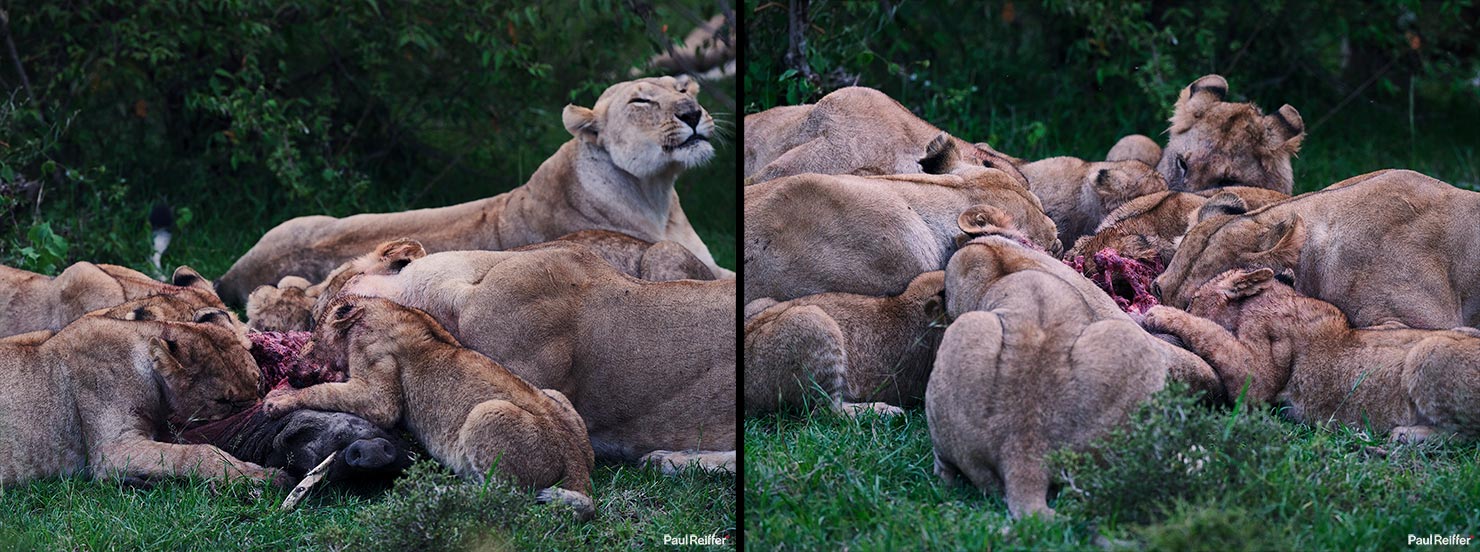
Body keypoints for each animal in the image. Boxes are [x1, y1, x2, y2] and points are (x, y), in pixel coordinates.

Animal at [0, 300, 273, 487]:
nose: (255, 409)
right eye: (223, 401)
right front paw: (262, 475)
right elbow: (199, 452)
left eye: (260, 383)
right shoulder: (111, 451)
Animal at [263, 296, 596, 519]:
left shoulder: (379, 391)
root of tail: (576, 459)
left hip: (486, 414)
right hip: (555, 397)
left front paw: (278, 401)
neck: (378, 310)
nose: (291, 367)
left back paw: (438, 491)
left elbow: (329, 391)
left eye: (312, 339)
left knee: (505, 497)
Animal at [1143, 268, 1480, 442]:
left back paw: (1407, 435)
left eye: (1193, 299)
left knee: (1468, 437)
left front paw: (1160, 314)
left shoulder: (1258, 380)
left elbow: (1210, 332)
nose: (1184, 303)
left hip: (1430, 351)